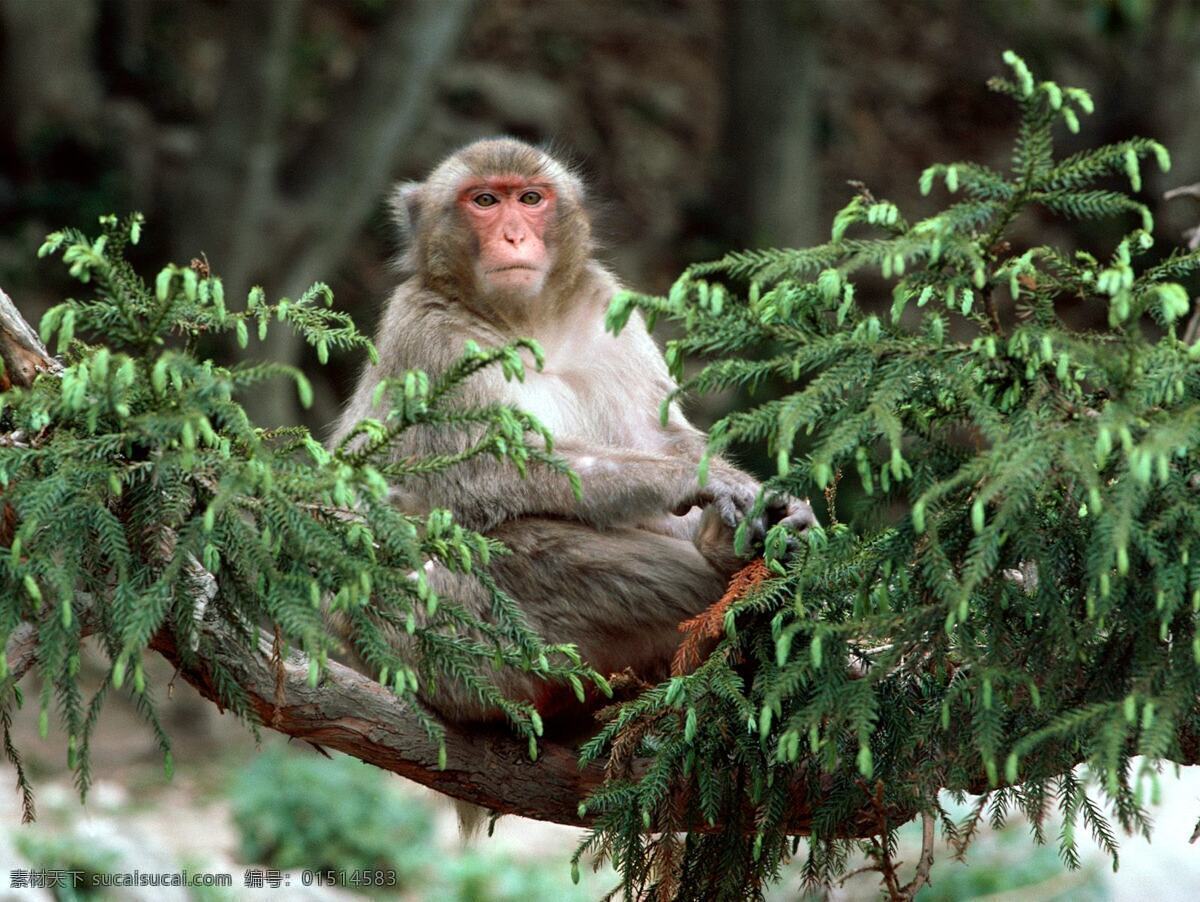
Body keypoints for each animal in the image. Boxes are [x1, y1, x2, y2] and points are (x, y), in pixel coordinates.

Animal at [331, 137, 816, 724]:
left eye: (531, 199)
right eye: (485, 200)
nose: (514, 235)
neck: (526, 324)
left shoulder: (607, 310)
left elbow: (657, 437)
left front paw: (772, 506)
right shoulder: (428, 337)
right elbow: (479, 471)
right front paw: (693, 480)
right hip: (442, 643)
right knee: (517, 545)